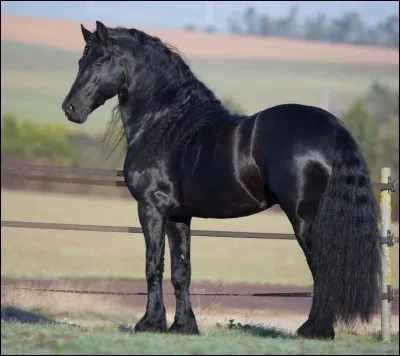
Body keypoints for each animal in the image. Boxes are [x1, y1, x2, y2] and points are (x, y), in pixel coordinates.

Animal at [61, 21, 382, 340]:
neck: (166, 123)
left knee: (323, 268)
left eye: (100, 61)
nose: (70, 108)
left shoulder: (151, 208)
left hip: (304, 218)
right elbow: (181, 270)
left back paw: (315, 330)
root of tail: (334, 128)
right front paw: (184, 326)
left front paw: (149, 323)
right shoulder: (179, 216)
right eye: (80, 62)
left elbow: (153, 265)